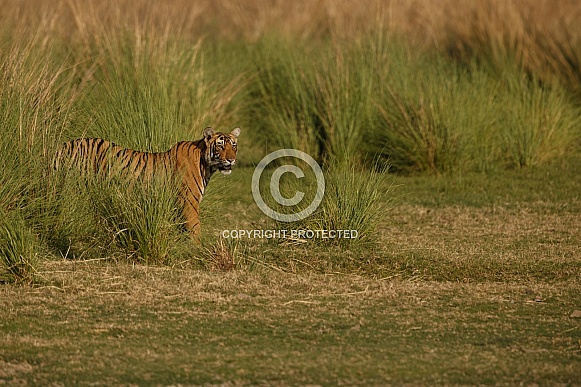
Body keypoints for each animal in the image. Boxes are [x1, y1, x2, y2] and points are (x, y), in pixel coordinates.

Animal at [52, 126, 238, 239]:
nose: (231, 160)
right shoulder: (188, 202)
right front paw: (197, 250)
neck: (205, 165)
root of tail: (62, 146)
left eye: (234, 146)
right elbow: (195, 229)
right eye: (220, 146)